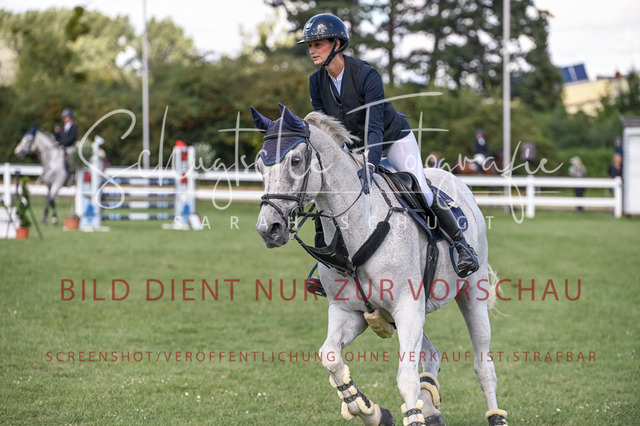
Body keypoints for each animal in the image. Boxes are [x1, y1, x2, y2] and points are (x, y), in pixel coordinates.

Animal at [251, 104, 508, 426]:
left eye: (295, 160)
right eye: (259, 166)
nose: (268, 229)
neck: (356, 229)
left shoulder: (407, 305)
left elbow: (406, 377)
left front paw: (410, 415)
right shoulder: (351, 312)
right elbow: (330, 357)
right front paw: (369, 410)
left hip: (472, 290)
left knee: (483, 364)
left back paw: (495, 416)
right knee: (432, 354)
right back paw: (431, 406)